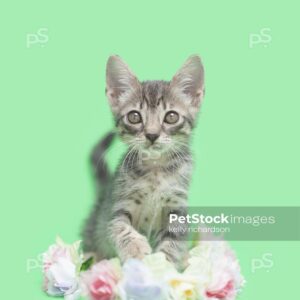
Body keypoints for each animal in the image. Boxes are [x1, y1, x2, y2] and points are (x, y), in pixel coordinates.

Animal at [81, 54, 204, 268]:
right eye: (134, 116)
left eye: (171, 116)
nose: (152, 135)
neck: (155, 170)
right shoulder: (119, 204)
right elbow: (117, 226)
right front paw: (135, 249)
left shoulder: (177, 207)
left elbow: (174, 241)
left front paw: (163, 265)